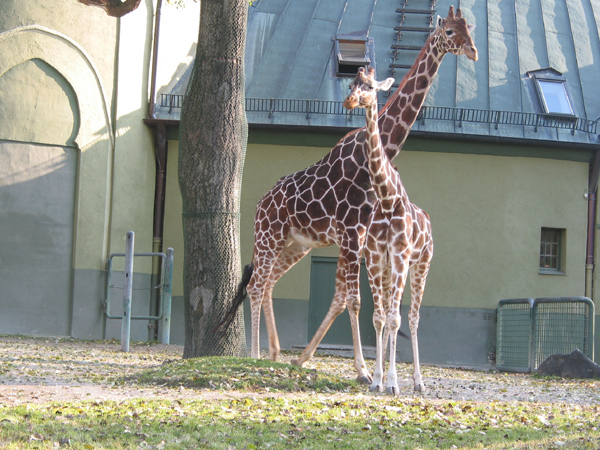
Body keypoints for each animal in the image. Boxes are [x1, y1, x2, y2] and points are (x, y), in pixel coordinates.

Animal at [344, 67, 434, 394]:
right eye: (351, 84)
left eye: (370, 86)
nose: (349, 101)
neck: (386, 197)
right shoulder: (374, 259)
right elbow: (379, 318)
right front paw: (377, 379)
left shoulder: (398, 257)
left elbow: (395, 320)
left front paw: (394, 382)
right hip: (390, 270)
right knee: (389, 313)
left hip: (420, 265)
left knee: (413, 317)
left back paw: (419, 382)